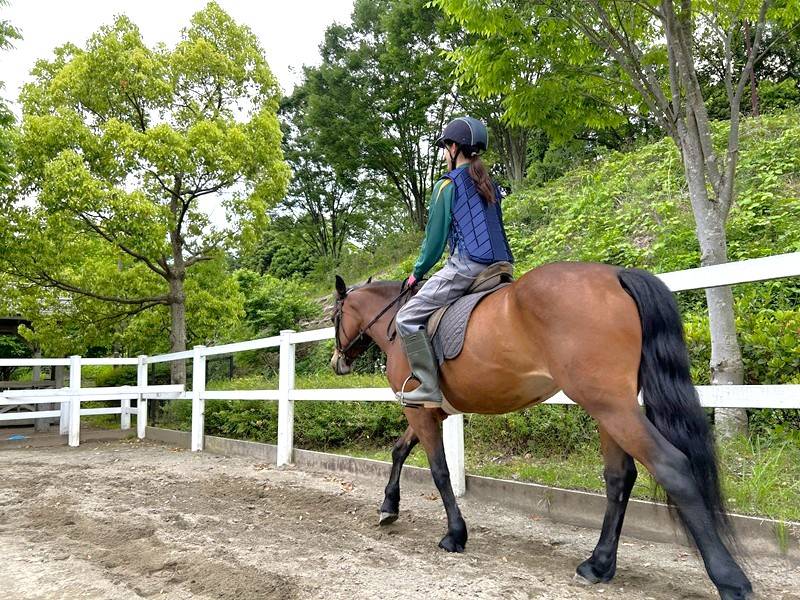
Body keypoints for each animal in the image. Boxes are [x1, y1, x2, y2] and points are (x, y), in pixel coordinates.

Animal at [330, 262, 751, 600]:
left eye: (334, 316)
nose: (337, 363)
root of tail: (615, 273)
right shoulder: (432, 413)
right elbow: (400, 450)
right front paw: (389, 506)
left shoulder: (418, 410)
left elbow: (439, 472)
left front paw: (454, 535)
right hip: (611, 407)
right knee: (619, 477)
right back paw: (598, 565)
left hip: (611, 405)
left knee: (671, 466)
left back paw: (730, 580)